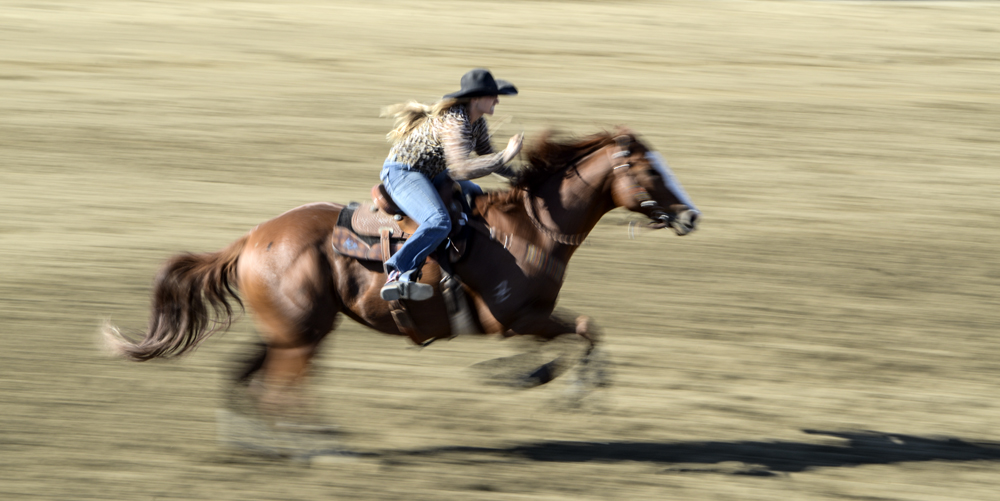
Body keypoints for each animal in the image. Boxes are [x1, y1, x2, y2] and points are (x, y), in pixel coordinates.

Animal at [99, 129, 696, 422]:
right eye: (649, 169)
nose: (691, 216)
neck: (529, 229)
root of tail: (250, 239)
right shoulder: (518, 316)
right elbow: (585, 330)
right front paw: (559, 383)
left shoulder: (527, 319)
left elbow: (586, 332)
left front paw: (538, 377)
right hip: (300, 339)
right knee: (280, 391)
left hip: (291, 331)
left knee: (244, 378)